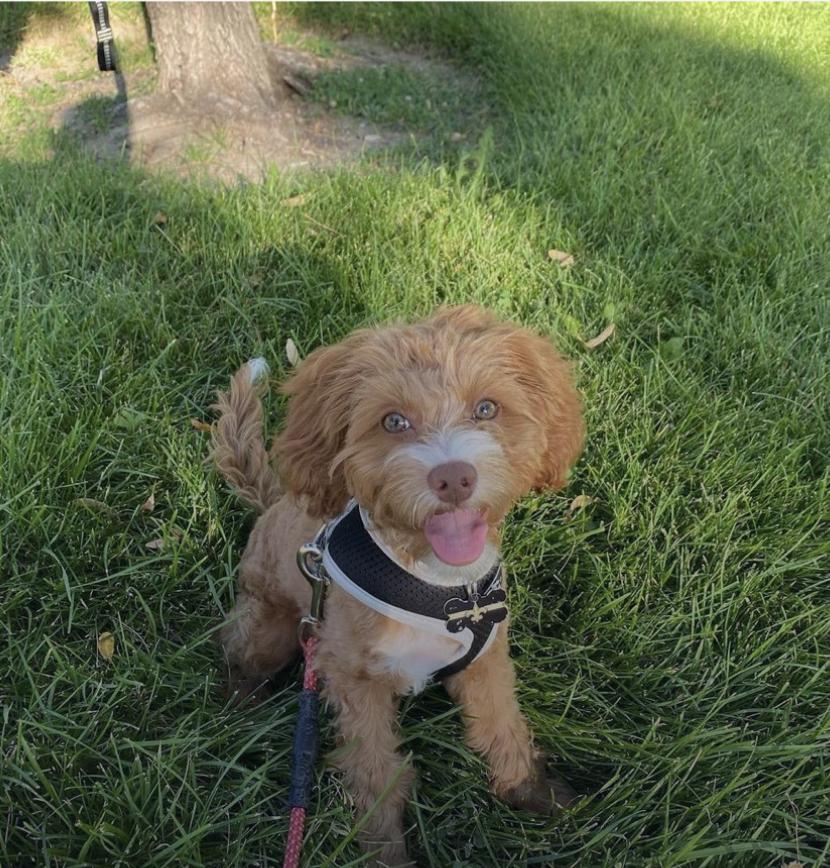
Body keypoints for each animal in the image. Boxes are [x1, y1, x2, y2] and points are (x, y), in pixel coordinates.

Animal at [212, 305, 584, 866]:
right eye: (393, 421)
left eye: (487, 408)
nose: (454, 478)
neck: (443, 588)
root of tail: (274, 502)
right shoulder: (353, 679)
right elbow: (376, 775)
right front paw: (384, 851)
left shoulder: (486, 662)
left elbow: (503, 728)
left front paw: (532, 793)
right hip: (271, 629)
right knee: (236, 648)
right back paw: (240, 700)